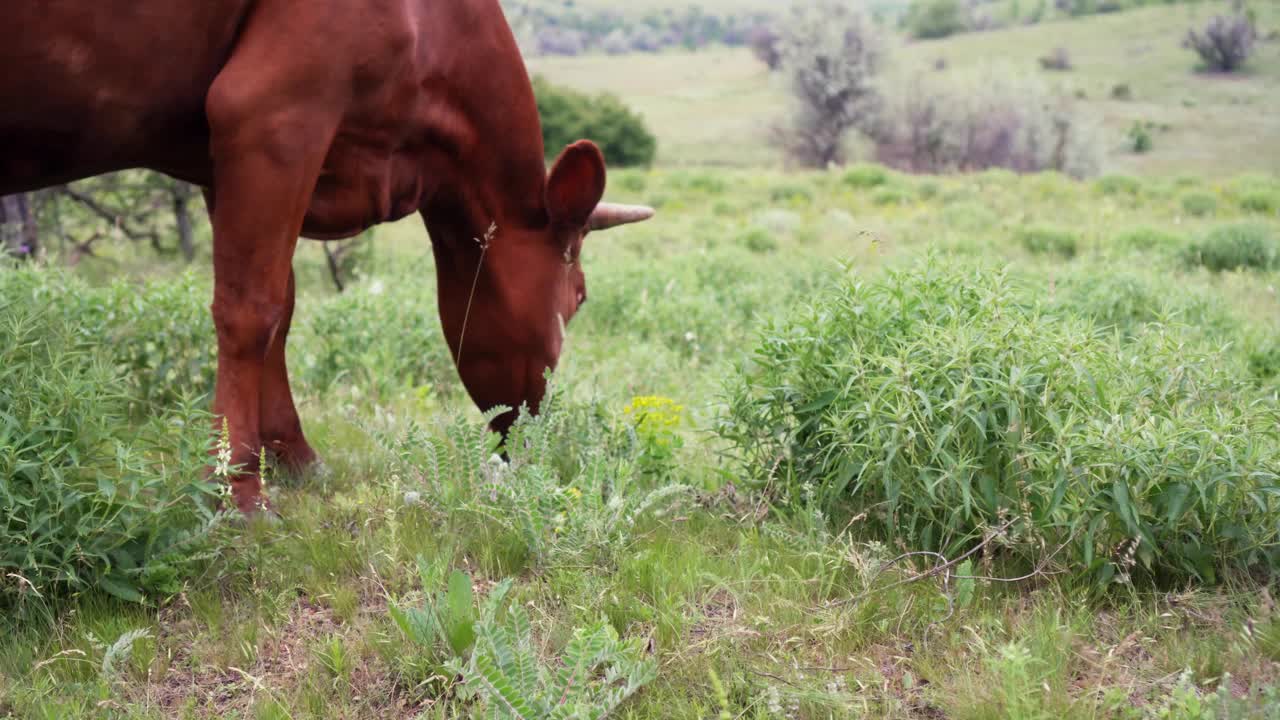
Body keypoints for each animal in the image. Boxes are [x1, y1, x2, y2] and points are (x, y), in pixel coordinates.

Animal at [2, 2, 650, 512]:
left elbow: (280, 309)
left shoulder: (226, 162)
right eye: (580, 297)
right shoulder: (271, 114)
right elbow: (249, 309)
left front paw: (291, 456)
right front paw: (237, 489)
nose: (537, 430)